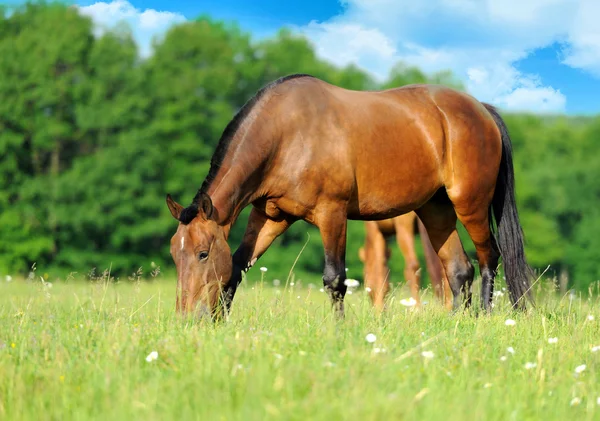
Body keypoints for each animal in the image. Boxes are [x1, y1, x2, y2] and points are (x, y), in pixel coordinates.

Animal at [165, 74, 536, 320]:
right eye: (174, 254)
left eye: (202, 254)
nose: (188, 317)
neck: (286, 133)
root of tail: (481, 109)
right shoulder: (271, 216)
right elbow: (237, 266)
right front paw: (220, 323)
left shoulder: (332, 213)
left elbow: (334, 279)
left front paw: (339, 331)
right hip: (436, 211)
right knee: (459, 270)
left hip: (470, 204)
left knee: (489, 258)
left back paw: (485, 318)